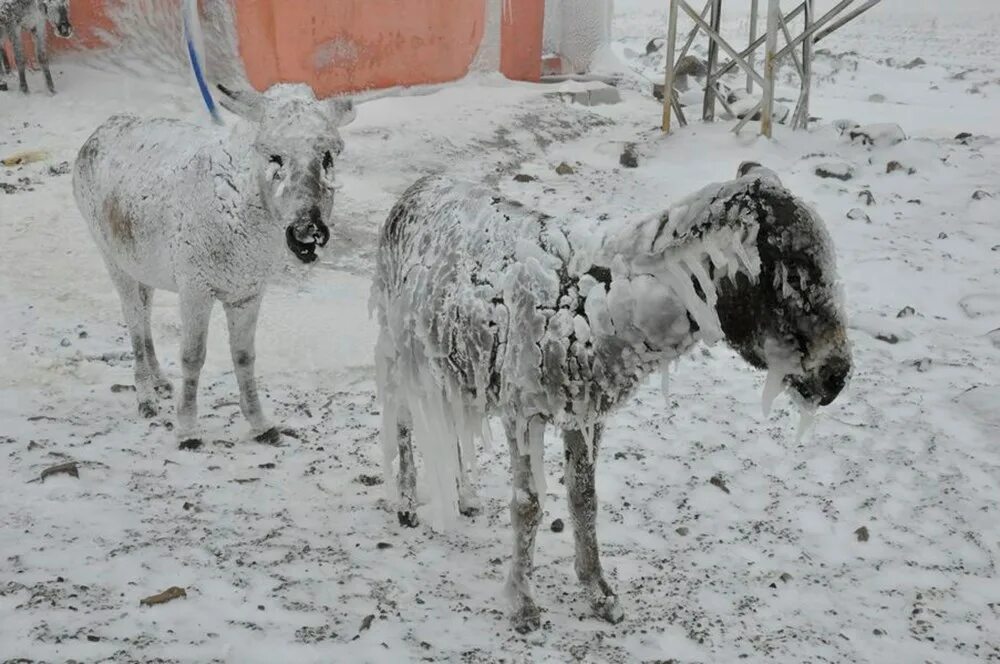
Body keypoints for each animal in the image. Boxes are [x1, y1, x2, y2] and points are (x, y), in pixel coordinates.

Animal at [75, 83, 356, 446]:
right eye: (273, 155)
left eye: (328, 155)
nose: (306, 233)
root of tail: (97, 133)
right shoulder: (196, 289)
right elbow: (193, 356)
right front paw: (188, 429)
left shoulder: (248, 293)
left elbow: (245, 357)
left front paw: (260, 424)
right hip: (112, 258)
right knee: (134, 320)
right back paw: (146, 397)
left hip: (142, 263)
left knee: (145, 312)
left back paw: (160, 381)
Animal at [372, 162, 856, 632]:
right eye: (793, 269)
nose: (837, 376)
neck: (599, 311)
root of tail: (417, 187)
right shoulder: (523, 410)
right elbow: (528, 505)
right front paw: (523, 605)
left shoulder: (586, 413)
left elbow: (584, 500)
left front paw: (600, 595)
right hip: (395, 345)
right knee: (402, 421)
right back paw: (407, 505)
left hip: (456, 361)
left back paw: (466, 498)